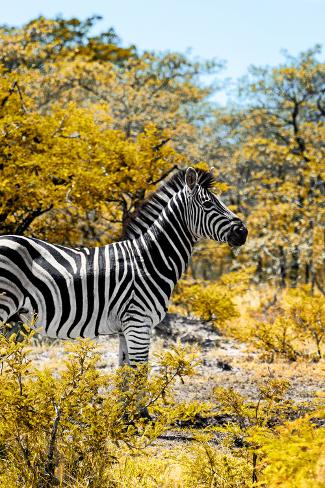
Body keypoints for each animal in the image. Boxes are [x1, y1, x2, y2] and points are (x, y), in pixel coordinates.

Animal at [0, 168, 246, 366]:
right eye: (208, 204)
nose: (243, 232)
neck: (149, 259)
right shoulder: (139, 322)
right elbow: (139, 377)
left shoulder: (125, 328)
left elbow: (125, 378)